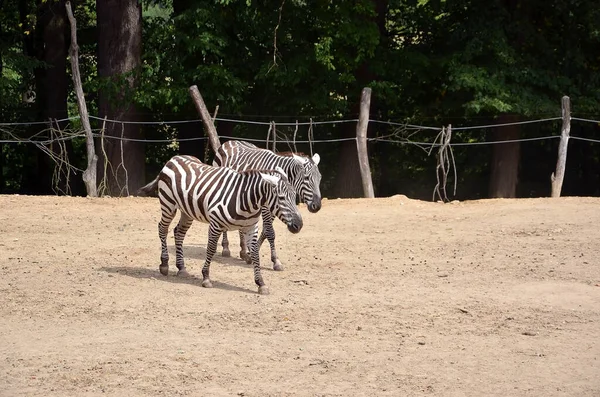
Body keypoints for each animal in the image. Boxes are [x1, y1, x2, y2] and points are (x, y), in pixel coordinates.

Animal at [138, 155, 302, 294]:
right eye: (281, 198)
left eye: (295, 196)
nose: (299, 225)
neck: (244, 200)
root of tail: (173, 158)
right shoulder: (215, 224)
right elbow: (211, 249)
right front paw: (206, 277)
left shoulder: (251, 227)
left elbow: (255, 252)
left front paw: (260, 283)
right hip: (168, 204)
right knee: (162, 229)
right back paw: (164, 264)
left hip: (187, 212)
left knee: (178, 232)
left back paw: (182, 268)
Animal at [213, 138, 322, 270]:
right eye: (306, 178)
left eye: (320, 178)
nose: (317, 206)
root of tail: (230, 141)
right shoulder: (266, 206)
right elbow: (270, 232)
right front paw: (276, 261)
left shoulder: (275, 206)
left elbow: (265, 231)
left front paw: (251, 253)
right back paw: (226, 248)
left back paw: (243, 252)